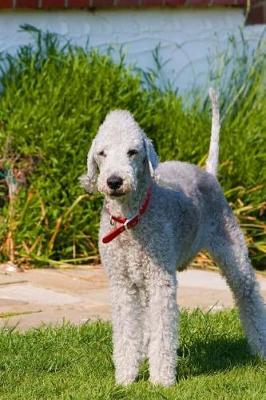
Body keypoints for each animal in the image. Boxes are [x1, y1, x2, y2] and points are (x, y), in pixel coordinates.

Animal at [81, 91, 266, 388]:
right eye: (102, 153)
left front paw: (161, 380)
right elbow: (126, 330)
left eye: (133, 152)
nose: (114, 181)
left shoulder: (160, 280)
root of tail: (208, 172)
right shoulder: (122, 283)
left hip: (232, 248)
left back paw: (260, 348)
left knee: (248, 294)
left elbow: (163, 329)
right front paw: (125, 377)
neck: (131, 219)